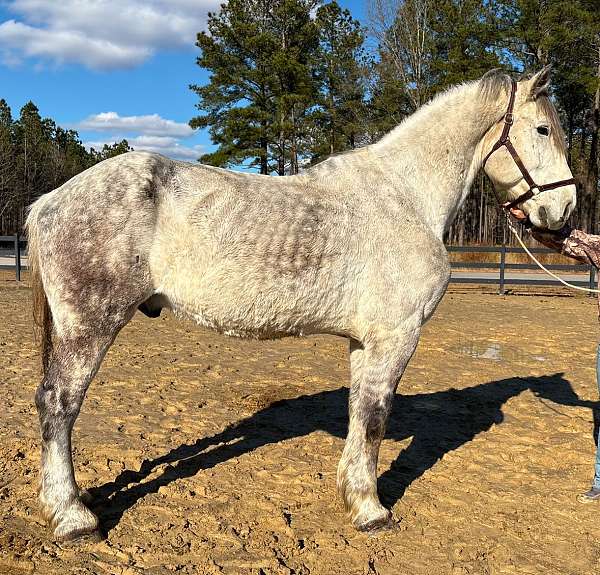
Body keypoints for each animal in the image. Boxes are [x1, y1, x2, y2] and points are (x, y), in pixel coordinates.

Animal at [28, 67, 576, 540]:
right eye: (544, 128)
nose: (564, 211)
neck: (406, 197)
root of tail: (48, 201)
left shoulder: (364, 342)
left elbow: (359, 413)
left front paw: (354, 496)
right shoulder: (396, 336)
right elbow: (376, 417)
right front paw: (373, 511)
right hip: (89, 326)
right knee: (59, 404)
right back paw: (73, 516)